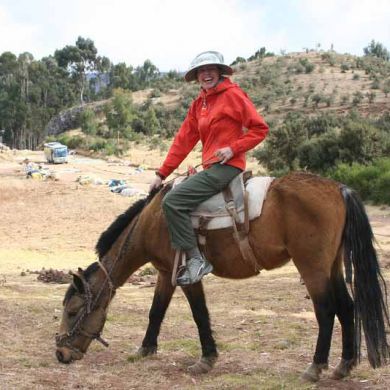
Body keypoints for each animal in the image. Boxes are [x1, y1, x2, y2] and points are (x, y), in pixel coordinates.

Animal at [55, 172, 390, 382]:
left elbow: (200, 315)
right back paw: (344, 365)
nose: (61, 353)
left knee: (326, 311)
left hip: (312, 267)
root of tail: (339, 189)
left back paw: (316, 367)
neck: (153, 220)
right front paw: (146, 349)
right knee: (347, 307)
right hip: (332, 266)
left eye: (72, 311)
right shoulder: (165, 273)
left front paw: (206, 359)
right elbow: (156, 311)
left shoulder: (187, 276)